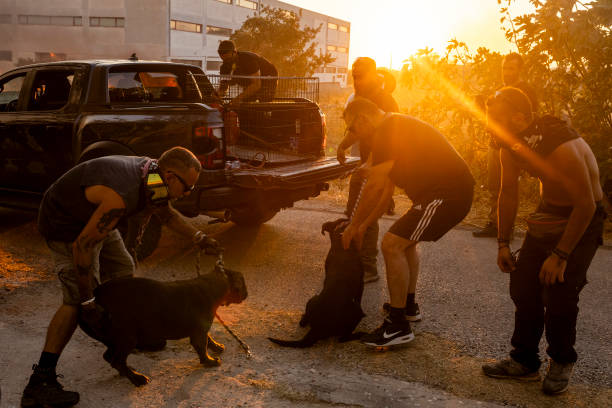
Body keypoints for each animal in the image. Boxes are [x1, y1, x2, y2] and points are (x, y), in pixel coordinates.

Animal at [78, 262, 246, 388]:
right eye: (243, 283)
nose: (246, 293)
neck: (212, 284)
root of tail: (97, 298)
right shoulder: (199, 333)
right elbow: (202, 348)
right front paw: (210, 361)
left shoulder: (201, 329)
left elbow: (208, 338)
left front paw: (216, 346)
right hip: (127, 339)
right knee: (117, 360)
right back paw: (137, 379)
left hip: (114, 340)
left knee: (110, 357)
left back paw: (127, 372)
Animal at [268, 217, 364, 348]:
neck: (341, 246)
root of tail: (317, 329)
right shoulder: (361, 284)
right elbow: (359, 297)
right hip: (356, 312)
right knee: (343, 338)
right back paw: (360, 334)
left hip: (312, 299)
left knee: (303, 322)